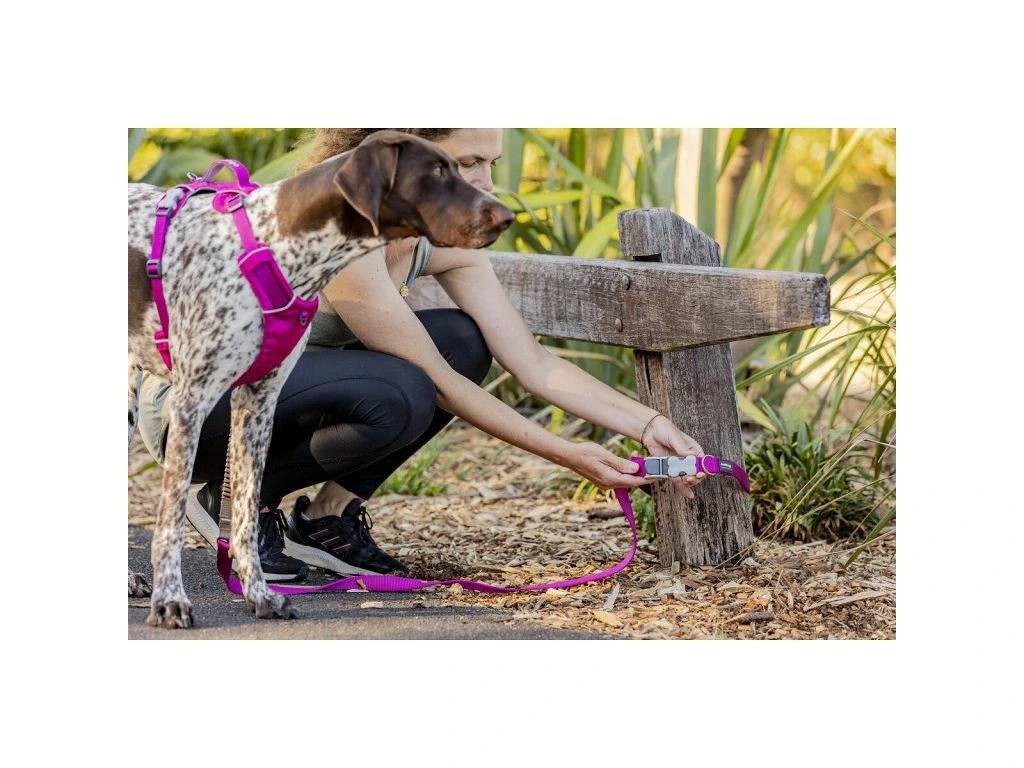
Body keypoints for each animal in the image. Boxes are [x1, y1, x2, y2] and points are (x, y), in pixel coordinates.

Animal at [128, 130, 514, 628]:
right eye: (436, 172)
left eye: (458, 166)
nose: (508, 216)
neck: (278, 246)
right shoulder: (191, 403)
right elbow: (170, 521)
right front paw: (170, 602)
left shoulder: (258, 403)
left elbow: (247, 511)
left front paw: (259, 594)